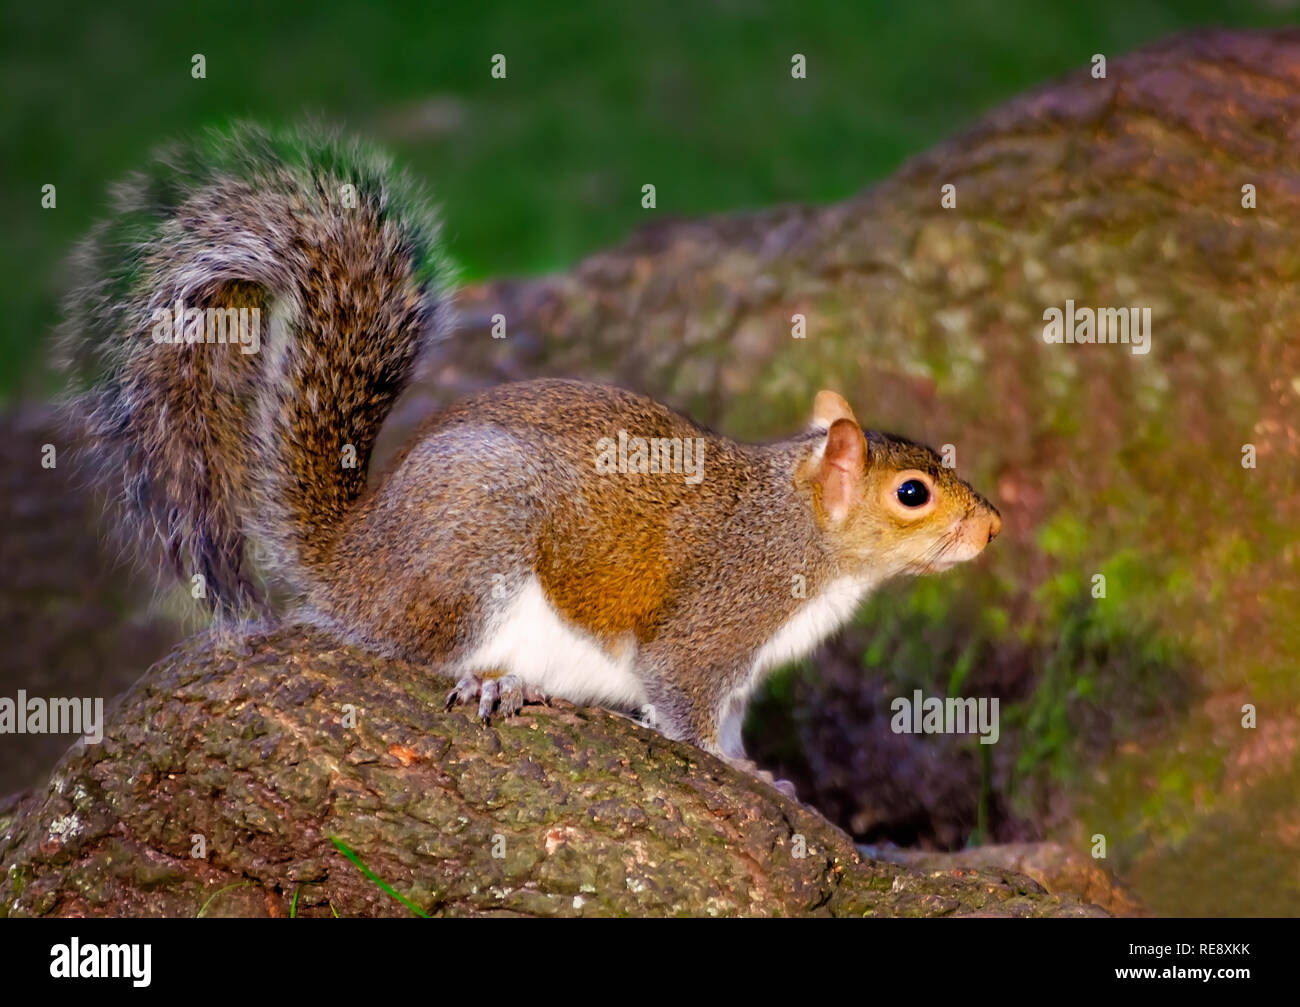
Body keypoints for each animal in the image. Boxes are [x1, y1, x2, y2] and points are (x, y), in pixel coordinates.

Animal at [55, 124, 998, 790]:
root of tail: (352, 559)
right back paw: (492, 682)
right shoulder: (714, 624)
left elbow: (727, 719)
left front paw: (761, 769)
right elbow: (685, 708)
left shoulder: (742, 673)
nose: (992, 529)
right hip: (473, 548)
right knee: (409, 649)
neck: (795, 524)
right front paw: (738, 774)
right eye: (913, 492)